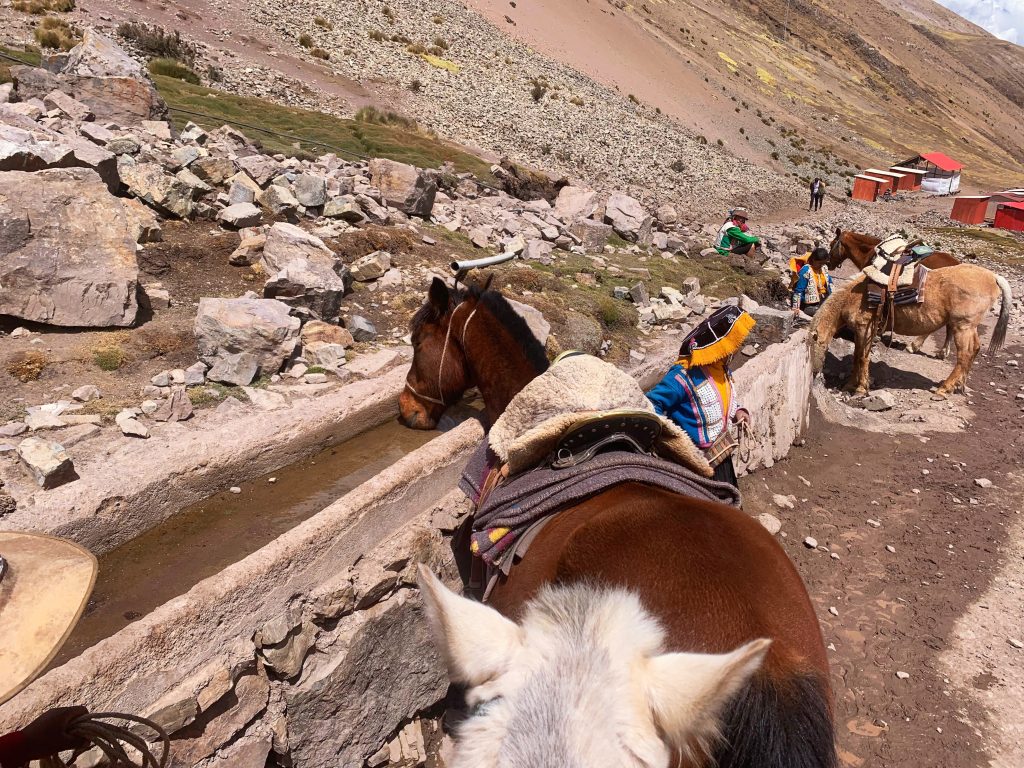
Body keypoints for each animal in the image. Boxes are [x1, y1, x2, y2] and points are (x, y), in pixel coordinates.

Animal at [809, 265, 1012, 397]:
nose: (814, 373)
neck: (852, 296)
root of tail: (994, 277)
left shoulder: (865, 328)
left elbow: (862, 358)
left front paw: (860, 389)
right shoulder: (863, 332)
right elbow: (858, 356)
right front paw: (850, 385)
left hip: (963, 326)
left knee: (964, 355)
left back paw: (944, 389)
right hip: (969, 327)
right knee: (974, 350)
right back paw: (959, 386)